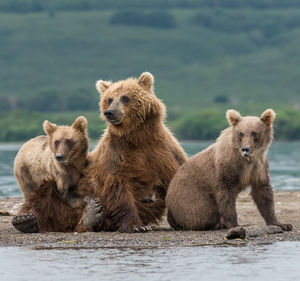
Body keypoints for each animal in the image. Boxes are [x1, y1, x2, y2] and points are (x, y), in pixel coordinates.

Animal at [79, 71, 186, 232]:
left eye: (125, 97)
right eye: (109, 99)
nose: (110, 112)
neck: (137, 136)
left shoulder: (164, 151)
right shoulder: (115, 154)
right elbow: (117, 187)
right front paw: (136, 226)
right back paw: (90, 216)